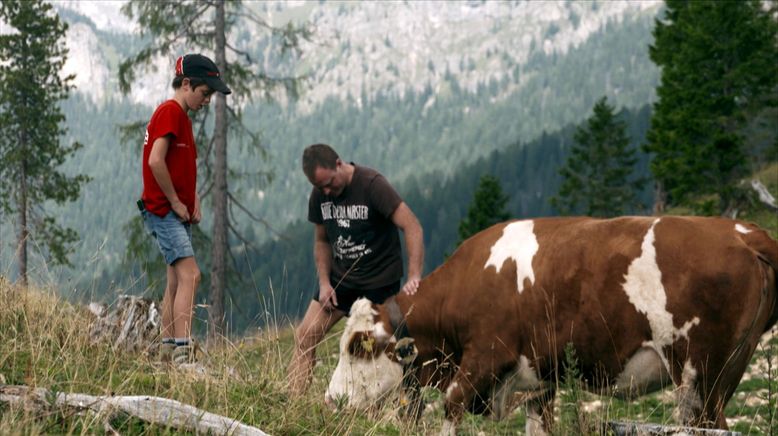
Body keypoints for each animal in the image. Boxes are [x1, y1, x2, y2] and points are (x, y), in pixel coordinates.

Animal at [328, 216, 776, 434]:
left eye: (357, 346)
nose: (332, 400)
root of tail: (743, 234)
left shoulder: (483, 358)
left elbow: (451, 408)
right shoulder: (539, 383)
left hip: (699, 375)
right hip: (723, 375)